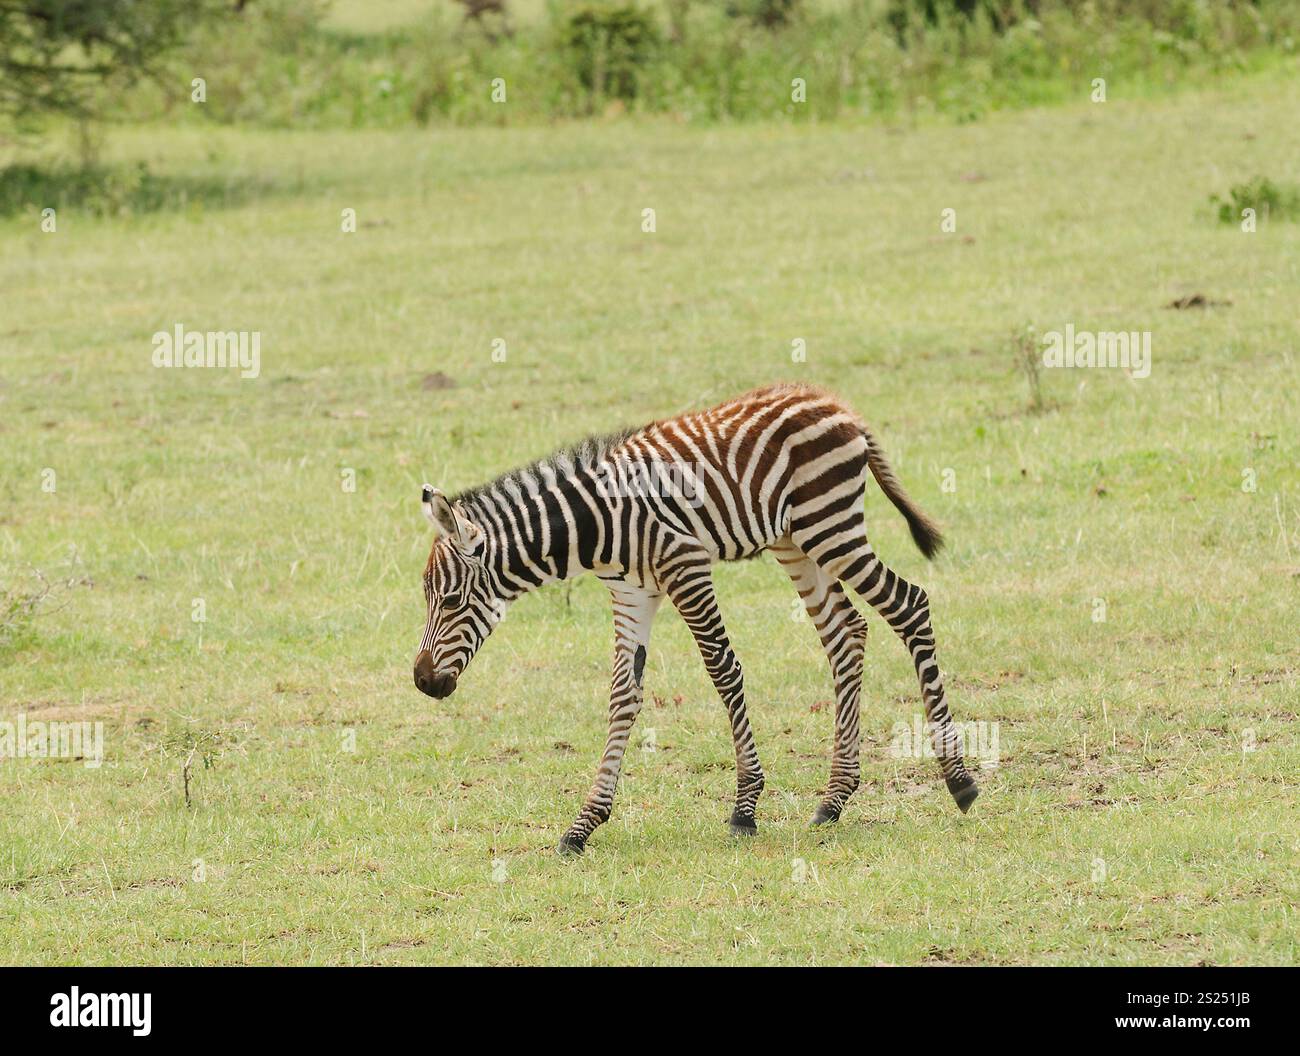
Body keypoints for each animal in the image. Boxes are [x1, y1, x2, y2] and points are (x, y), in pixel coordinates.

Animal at [414, 383, 978, 855]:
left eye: (452, 601)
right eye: (430, 599)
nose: (422, 682)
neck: (596, 525)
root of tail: (835, 403)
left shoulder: (685, 566)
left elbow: (722, 669)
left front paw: (745, 808)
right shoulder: (632, 594)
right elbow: (623, 695)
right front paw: (583, 824)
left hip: (831, 525)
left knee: (909, 605)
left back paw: (959, 781)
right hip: (797, 541)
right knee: (847, 633)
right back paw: (833, 799)